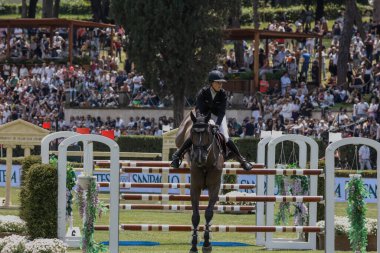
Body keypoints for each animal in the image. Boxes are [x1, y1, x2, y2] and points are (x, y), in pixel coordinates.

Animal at [182, 111, 226, 253]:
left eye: (207, 133)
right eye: (192, 133)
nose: (199, 157)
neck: (206, 164)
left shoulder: (214, 188)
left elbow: (208, 213)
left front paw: (206, 244)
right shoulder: (195, 188)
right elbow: (195, 216)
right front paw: (194, 245)